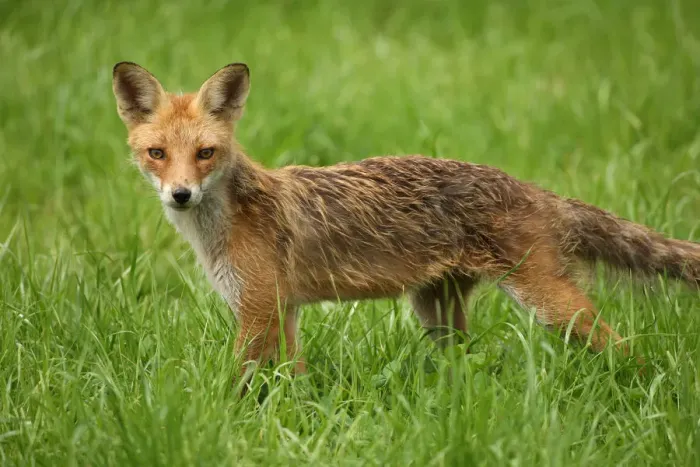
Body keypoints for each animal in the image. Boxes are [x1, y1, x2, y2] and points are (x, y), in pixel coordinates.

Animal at [112, 61, 699, 388]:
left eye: (206, 153)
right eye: (158, 153)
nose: (181, 194)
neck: (221, 228)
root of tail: (533, 189)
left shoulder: (257, 311)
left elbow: (236, 385)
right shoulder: (282, 311)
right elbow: (292, 383)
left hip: (549, 304)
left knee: (625, 347)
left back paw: (648, 389)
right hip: (437, 313)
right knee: (468, 363)